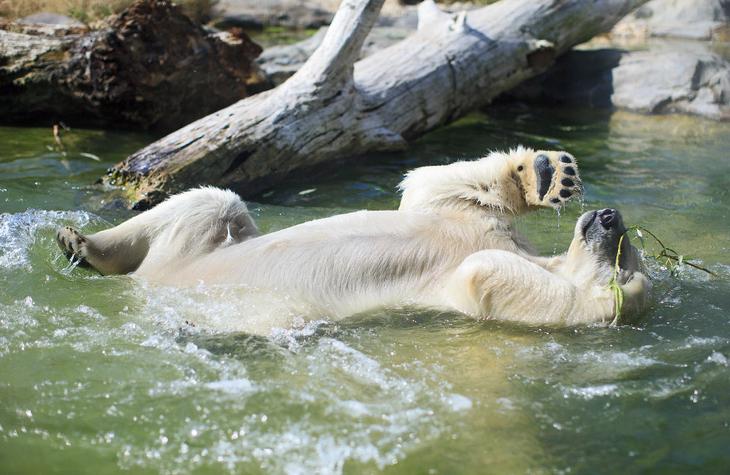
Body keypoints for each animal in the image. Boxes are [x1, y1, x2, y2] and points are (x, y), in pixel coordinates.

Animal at [58, 149, 648, 326]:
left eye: (626, 262)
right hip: (193, 246)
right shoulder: (464, 220)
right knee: (214, 201)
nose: (611, 218)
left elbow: (485, 274)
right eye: (632, 247)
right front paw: (548, 174)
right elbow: (433, 183)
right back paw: (79, 242)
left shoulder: (469, 293)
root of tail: (153, 283)